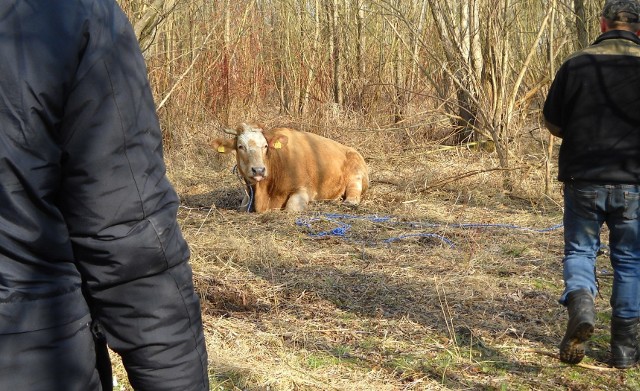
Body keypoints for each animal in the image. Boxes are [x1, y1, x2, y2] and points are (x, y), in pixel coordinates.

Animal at [211, 123, 368, 213]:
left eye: (265, 146)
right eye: (240, 146)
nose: (259, 170)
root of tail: (351, 149)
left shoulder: (304, 189)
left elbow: (291, 208)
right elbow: (243, 206)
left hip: (356, 173)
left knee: (354, 189)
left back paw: (350, 202)